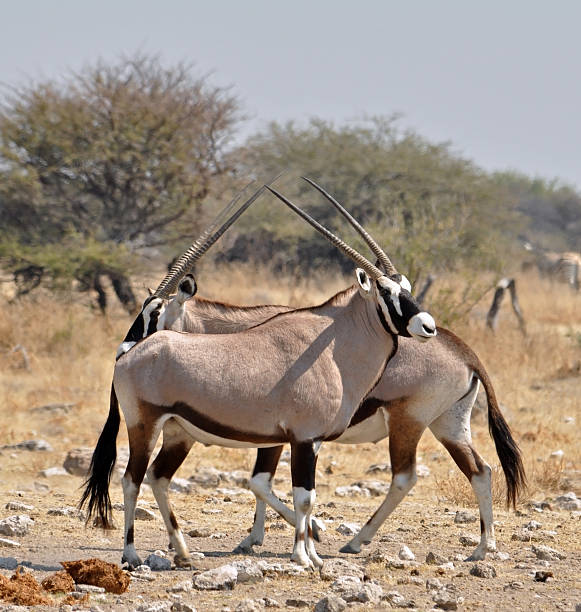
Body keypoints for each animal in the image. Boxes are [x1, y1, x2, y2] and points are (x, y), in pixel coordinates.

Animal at [80, 183, 436, 568]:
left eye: (407, 287)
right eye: (385, 292)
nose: (427, 326)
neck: (333, 345)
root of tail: (128, 359)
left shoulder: (310, 442)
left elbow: (305, 496)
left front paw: (313, 555)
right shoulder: (302, 438)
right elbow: (302, 497)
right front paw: (302, 556)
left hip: (177, 433)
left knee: (158, 477)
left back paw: (184, 553)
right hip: (144, 426)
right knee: (131, 479)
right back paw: (130, 553)